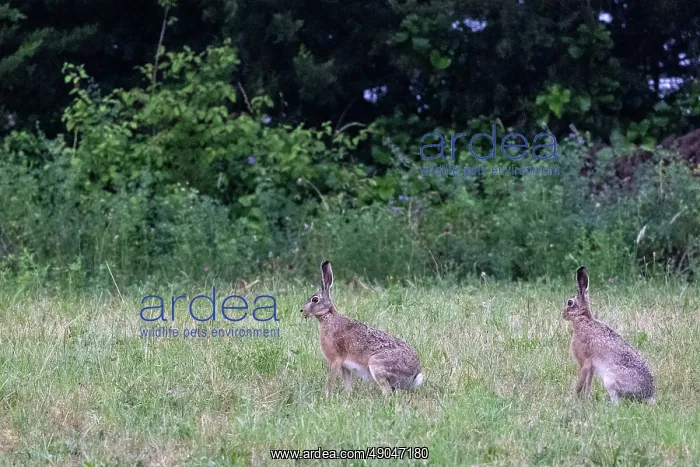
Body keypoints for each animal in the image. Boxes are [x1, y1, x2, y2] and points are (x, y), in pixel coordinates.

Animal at [300, 260, 424, 395]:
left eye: (315, 299)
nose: (302, 310)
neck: (328, 316)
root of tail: (413, 376)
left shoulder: (335, 360)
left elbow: (330, 379)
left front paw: (326, 394)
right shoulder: (345, 366)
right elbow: (347, 382)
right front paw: (347, 394)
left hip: (376, 364)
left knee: (387, 391)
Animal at [562, 266, 655, 404]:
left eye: (569, 303)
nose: (562, 314)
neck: (583, 319)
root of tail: (647, 395)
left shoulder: (585, 363)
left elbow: (580, 383)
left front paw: (574, 399)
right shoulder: (592, 367)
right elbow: (588, 383)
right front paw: (586, 399)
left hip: (610, 378)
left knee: (617, 402)